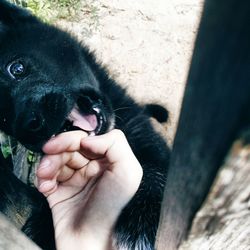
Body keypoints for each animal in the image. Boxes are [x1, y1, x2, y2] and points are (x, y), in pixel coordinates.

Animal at [0, 0, 170, 249]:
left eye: (17, 68)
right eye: (2, 118)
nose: (27, 128)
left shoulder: (149, 141)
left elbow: (156, 171)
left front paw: (143, 221)